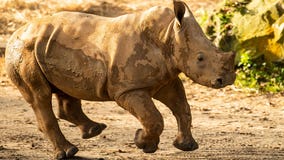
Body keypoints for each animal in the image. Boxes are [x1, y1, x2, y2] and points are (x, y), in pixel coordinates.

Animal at [5, 0, 235, 159]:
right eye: (200, 58)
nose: (227, 79)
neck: (167, 35)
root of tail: (14, 33)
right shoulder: (128, 89)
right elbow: (153, 117)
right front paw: (144, 144)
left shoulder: (165, 79)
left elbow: (182, 108)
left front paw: (186, 146)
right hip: (24, 50)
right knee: (40, 97)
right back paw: (69, 151)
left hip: (49, 48)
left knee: (66, 89)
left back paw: (94, 130)